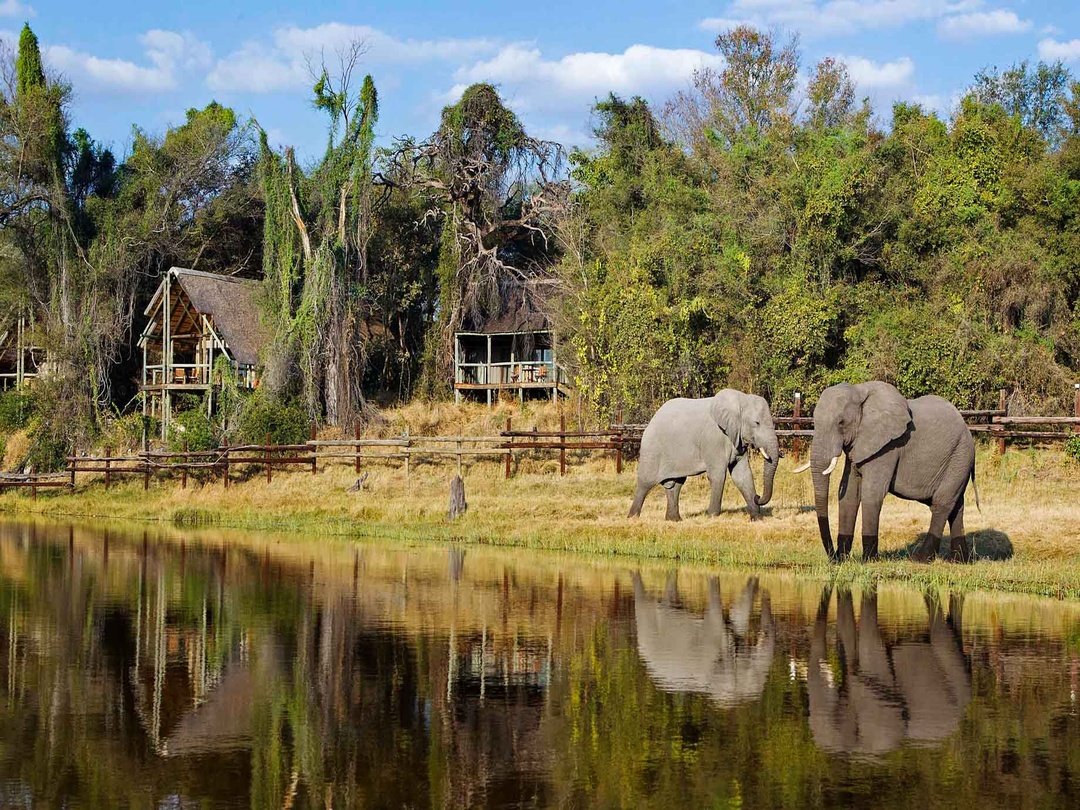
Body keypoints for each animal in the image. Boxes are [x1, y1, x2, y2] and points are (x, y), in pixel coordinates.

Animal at [628, 390, 780, 521]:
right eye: (757, 423)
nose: (758, 496)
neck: (740, 399)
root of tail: (651, 420)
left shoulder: (737, 440)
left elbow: (743, 475)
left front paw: (757, 518)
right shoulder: (713, 439)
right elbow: (717, 475)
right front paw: (712, 516)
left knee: (675, 484)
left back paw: (674, 520)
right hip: (652, 449)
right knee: (645, 482)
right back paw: (633, 518)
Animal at [794, 381, 978, 562]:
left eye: (841, 423)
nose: (833, 558)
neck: (859, 390)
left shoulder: (888, 448)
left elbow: (872, 493)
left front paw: (868, 560)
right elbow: (849, 494)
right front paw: (844, 559)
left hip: (960, 456)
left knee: (941, 504)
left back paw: (920, 558)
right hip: (958, 460)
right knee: (955, 506)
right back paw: (960, 560)